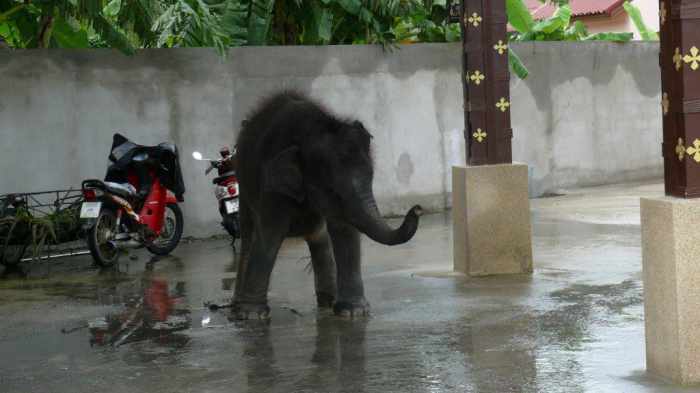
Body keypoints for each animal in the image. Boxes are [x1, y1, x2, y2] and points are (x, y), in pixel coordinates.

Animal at [234, 91, 422, 318]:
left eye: (371, 180)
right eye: (333, 191)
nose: (418, 208)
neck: (310, 131)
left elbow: (343, 230)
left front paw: (353, 311)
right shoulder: (272, 184)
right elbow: (270, 233)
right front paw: (252, 315)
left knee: (319, 239)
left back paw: (327, 301)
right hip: (244, 188)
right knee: (248, 236)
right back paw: (236, 307)